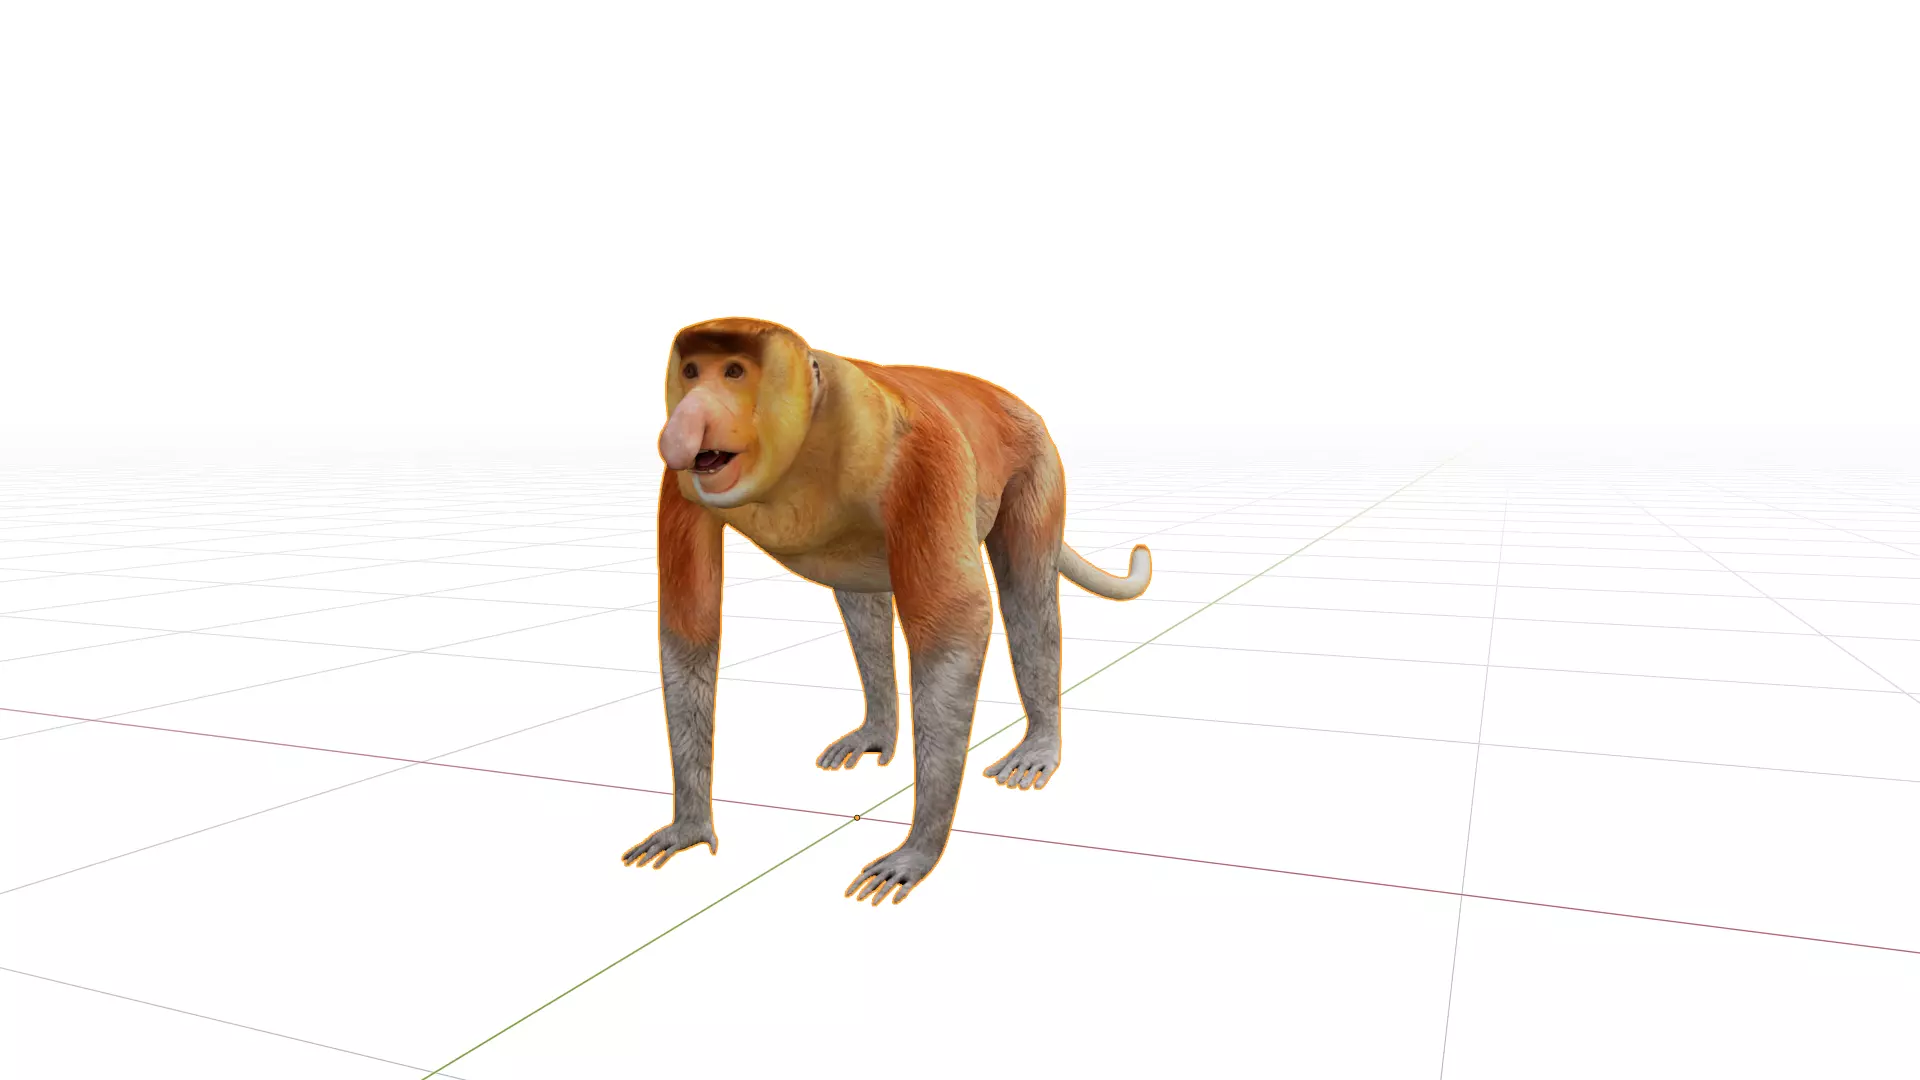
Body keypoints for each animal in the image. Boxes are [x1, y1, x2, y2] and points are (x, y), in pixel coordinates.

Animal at [620, 317, 1151, 906]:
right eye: (692, 371)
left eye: (733, 371)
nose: (687, 420)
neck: (810, 428)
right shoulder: (681, 486)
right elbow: (688, 635)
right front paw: (689, 826)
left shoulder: (922, 457)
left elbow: (957, 625)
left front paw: (917, 851)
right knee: (862, 601)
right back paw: (877, 731)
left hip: (1035, 466)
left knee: (1027, 596)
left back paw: (1038, 744)